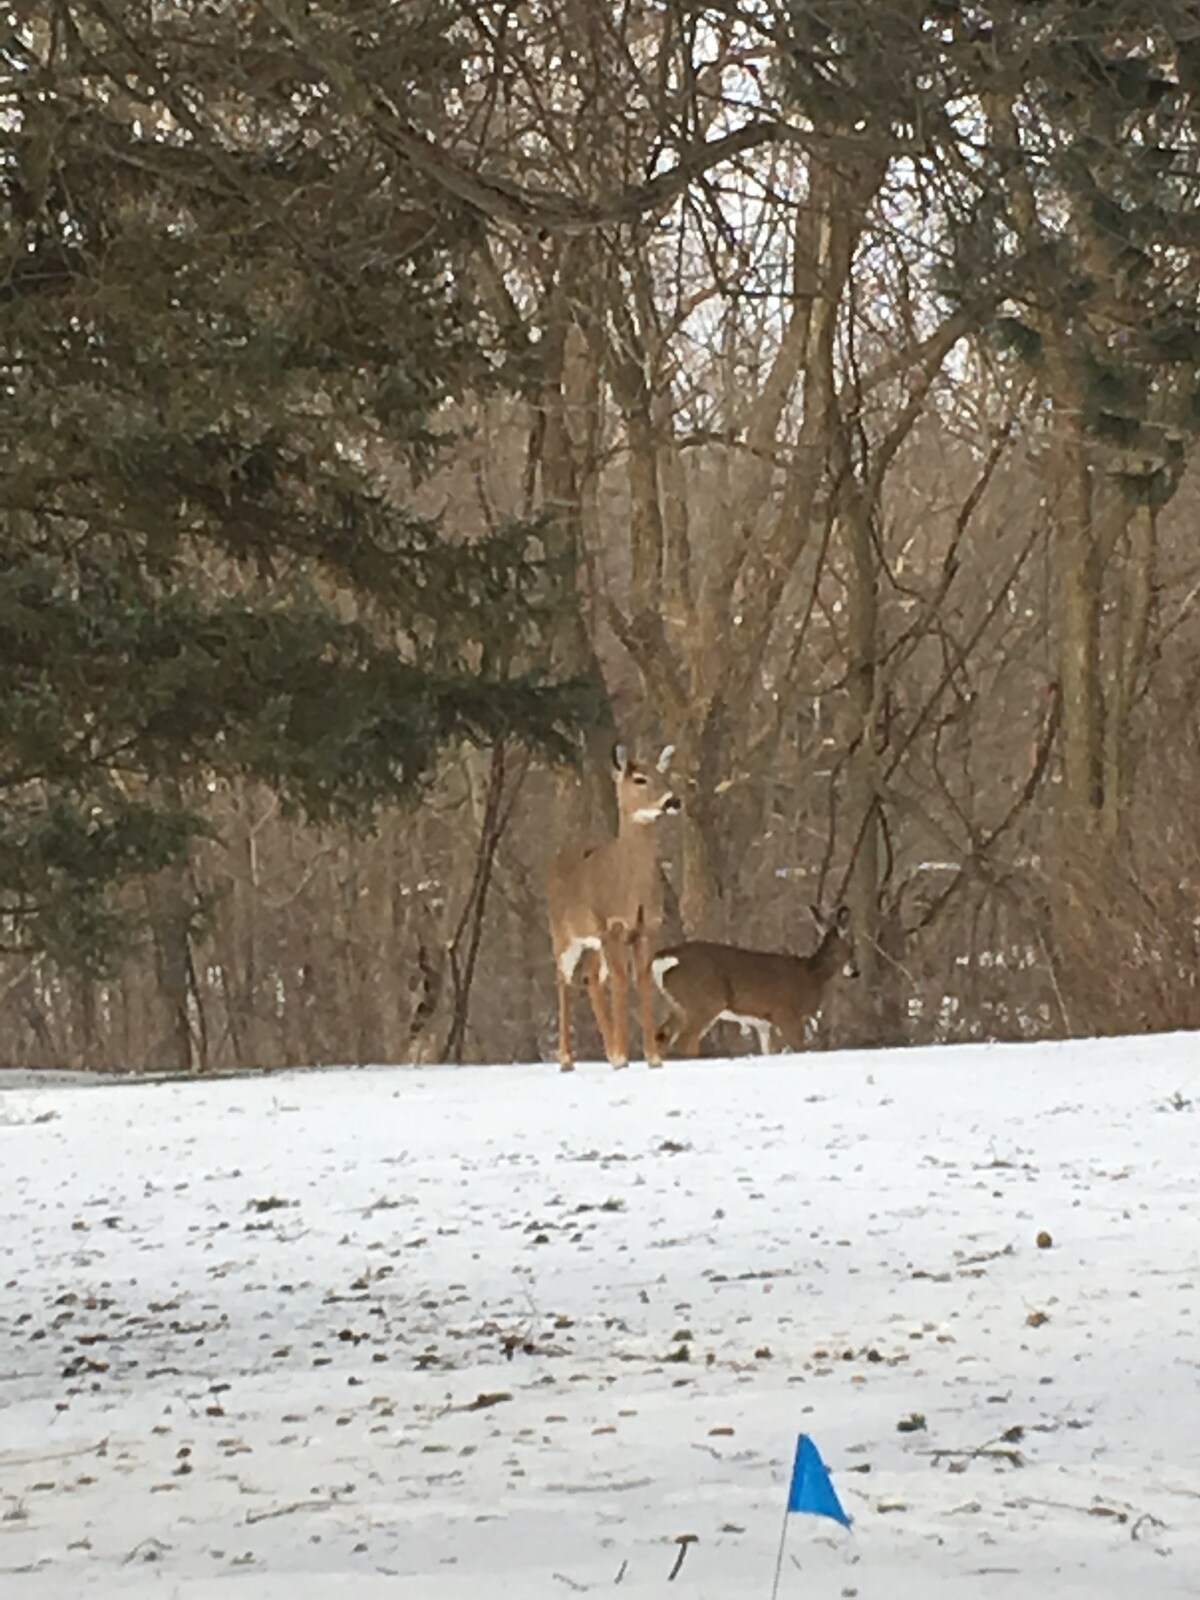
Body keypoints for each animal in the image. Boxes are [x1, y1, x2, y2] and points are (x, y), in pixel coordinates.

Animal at [547, 745, 681, 1075]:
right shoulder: (612, 926)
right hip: (564, 934)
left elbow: (642, 980)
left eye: (664, 774)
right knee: (563, 979)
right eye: (640, 778)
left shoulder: (647, 928)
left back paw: (607, 1052)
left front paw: (651, 1057)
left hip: (594, 943)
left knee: (591, 978)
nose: (673, 801)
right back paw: (567, 1059)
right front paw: (623, 1056)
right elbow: (621, 982)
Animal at [652, 902, 857, 1062]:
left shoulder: (764, 1024)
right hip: (704, 1002)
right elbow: (798, 1047)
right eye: (852, 946)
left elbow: (769, 1051)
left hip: (679, 1006)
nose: (856, 972)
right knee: (684, 1040)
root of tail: (661, 958)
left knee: (662, 1035)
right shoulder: (785, 1013)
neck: (812, 975)